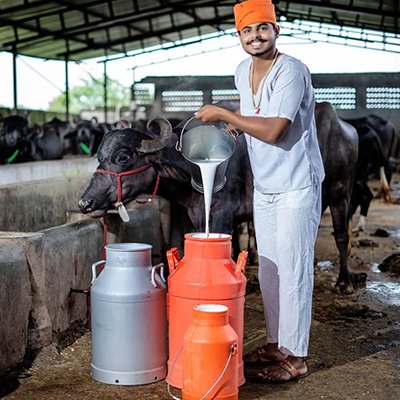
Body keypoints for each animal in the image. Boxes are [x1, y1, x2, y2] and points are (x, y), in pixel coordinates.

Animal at [79, 101, 360, 292]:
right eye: (100, 157)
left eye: (123, 157)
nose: (85, 202)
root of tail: (344, 128)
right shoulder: (198, 215)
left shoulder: (223, 216)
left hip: (340, 193)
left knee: (342, 235)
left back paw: (344, 281)